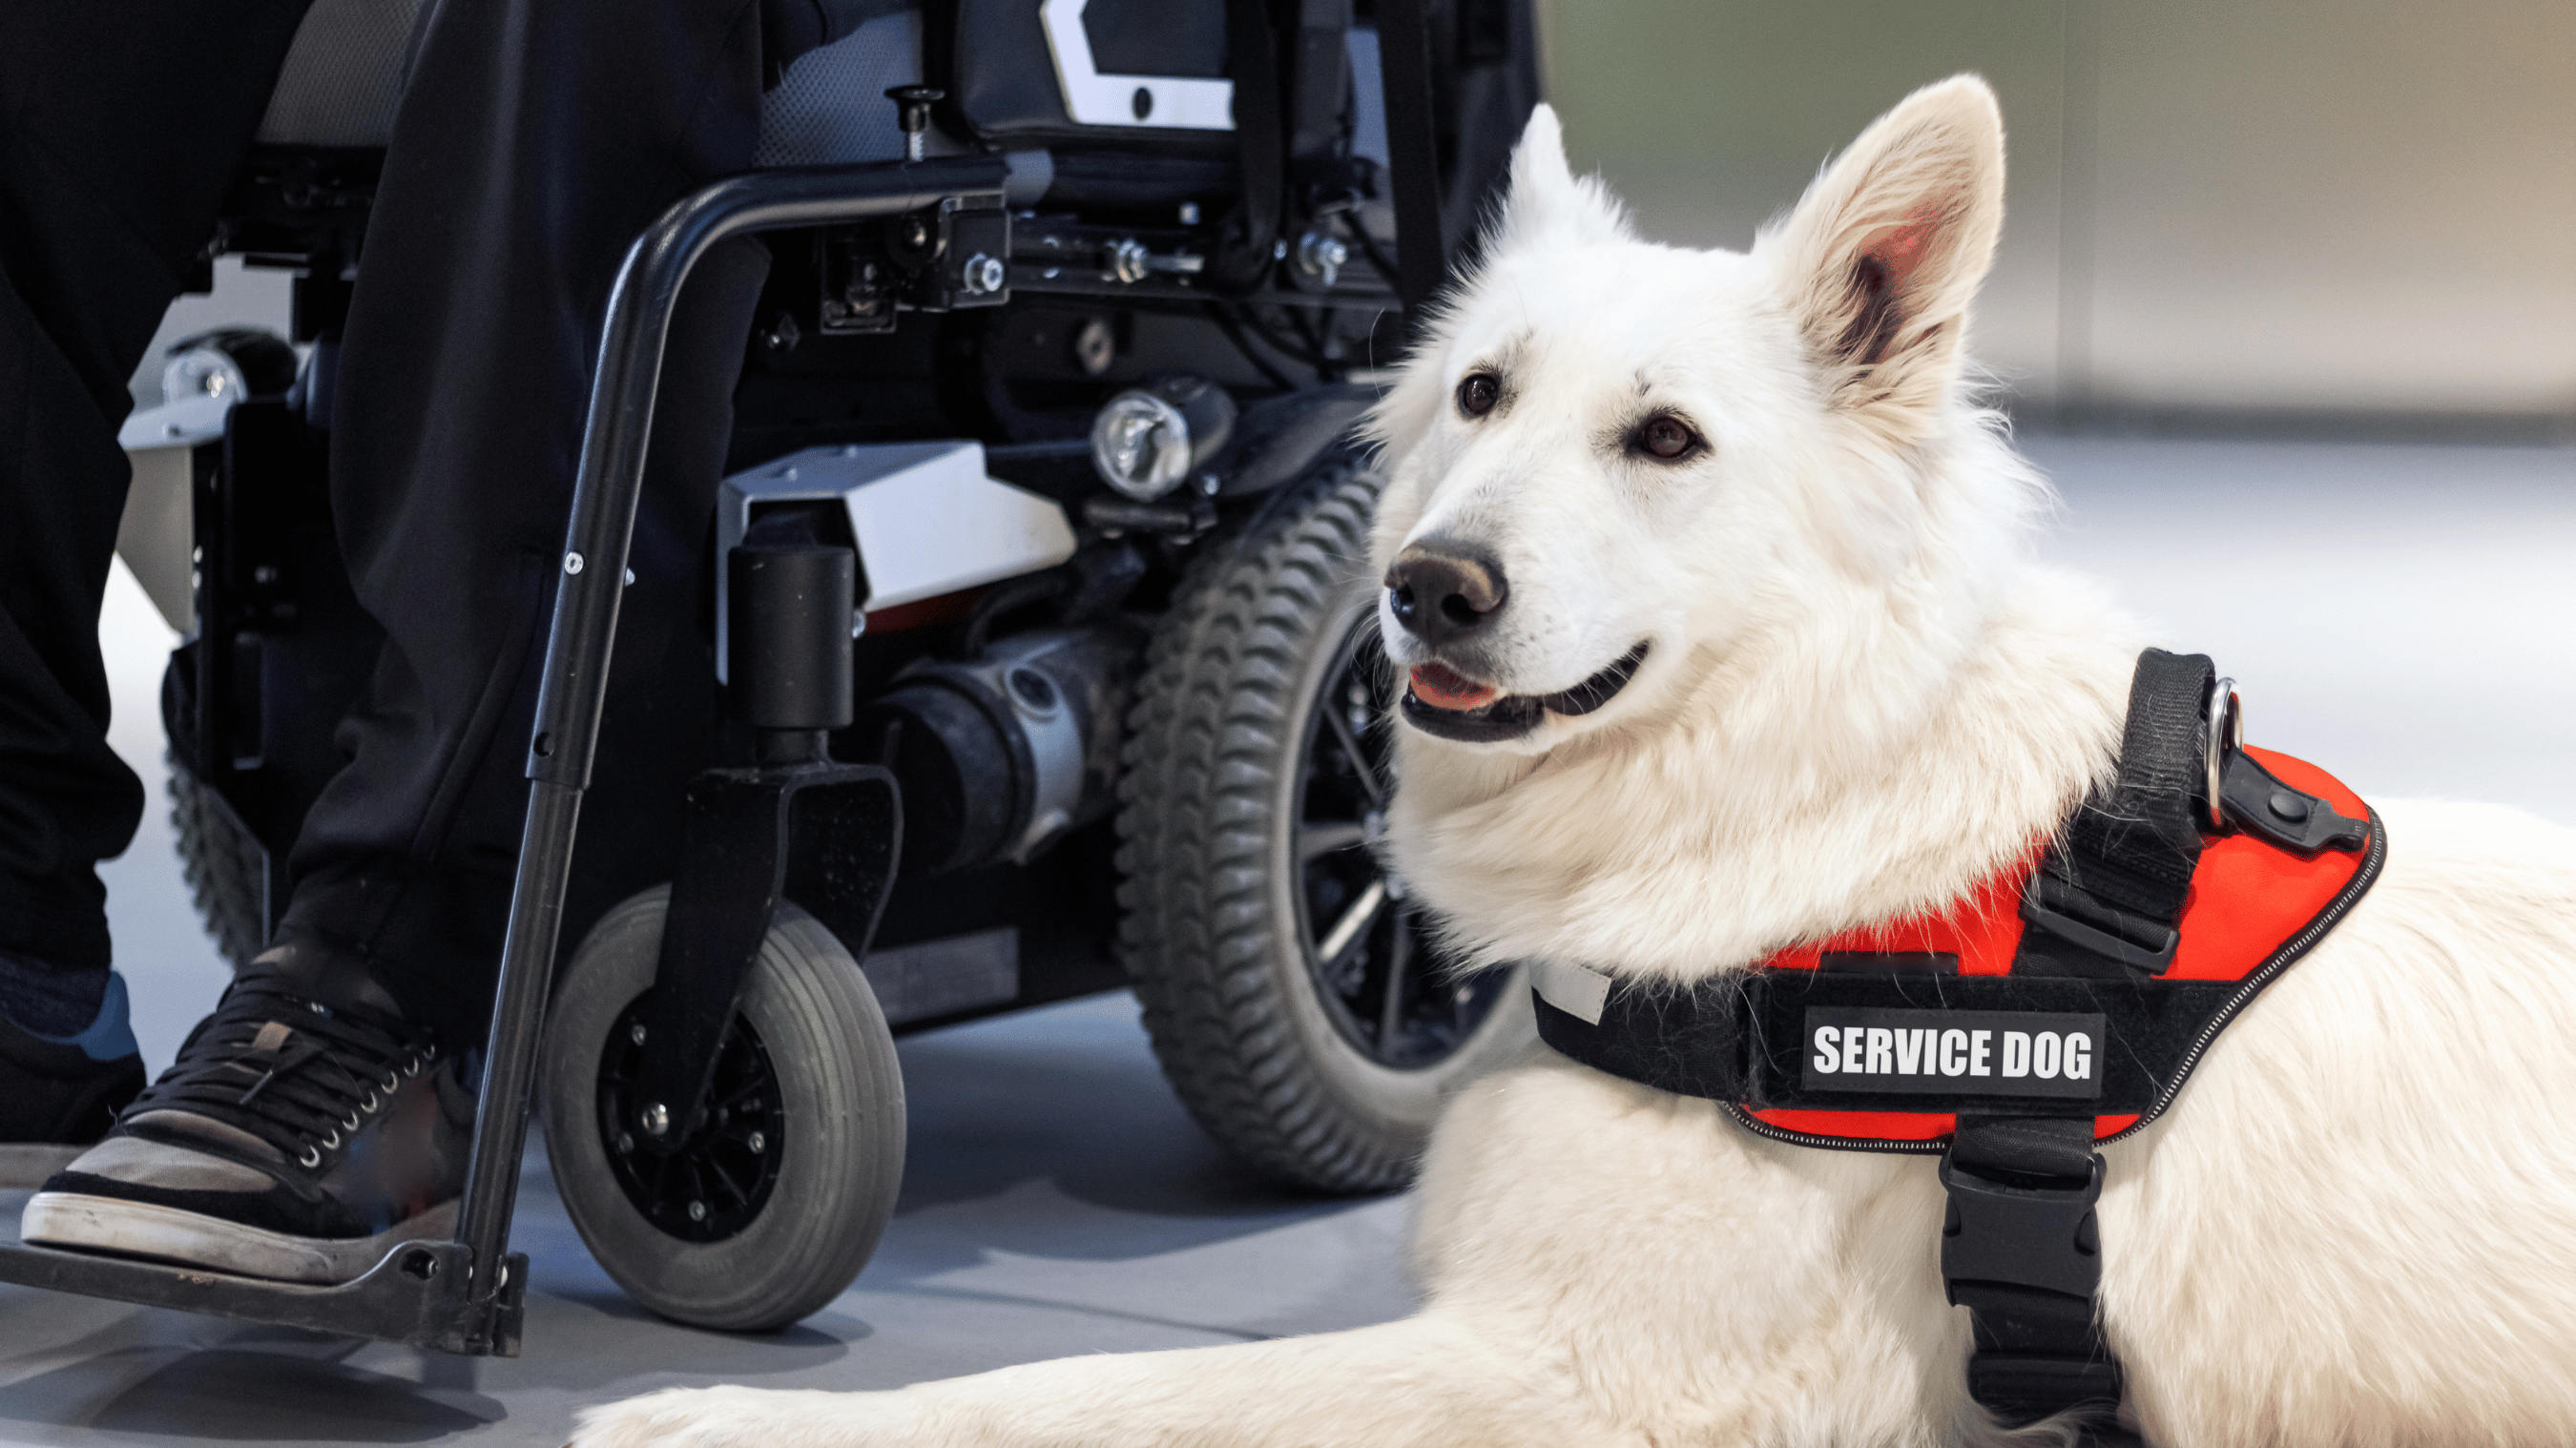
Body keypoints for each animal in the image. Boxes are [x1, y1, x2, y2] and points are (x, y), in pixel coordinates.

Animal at [579, 78, 2576, 1442]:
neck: (1795, 792)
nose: (1421, 588)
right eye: (1479, 394)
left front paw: (717, 1417)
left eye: (1666, 439)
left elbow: (1071, 1392)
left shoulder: (1579, 1374)